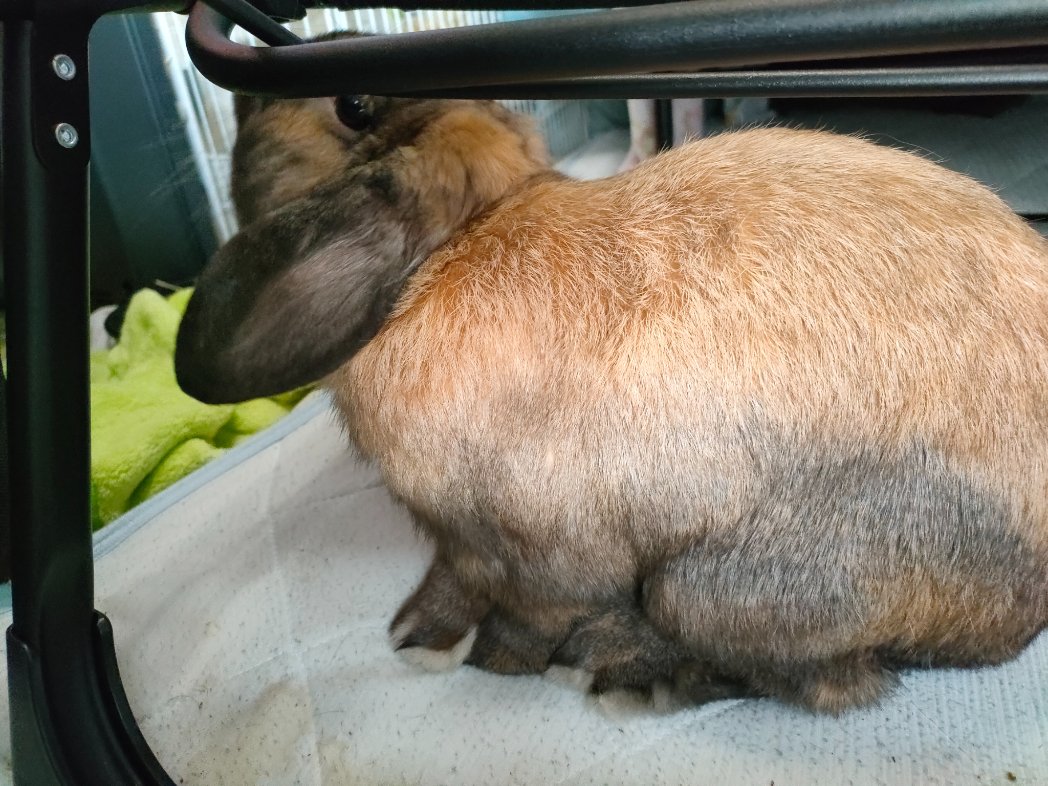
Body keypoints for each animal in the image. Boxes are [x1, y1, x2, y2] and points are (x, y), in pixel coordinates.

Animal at [175, 75, 1048, 714]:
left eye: (354, 104)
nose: (244, 95)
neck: (458, 244)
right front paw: (417, 631)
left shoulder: (530, 547)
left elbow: (522, 609)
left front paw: (462, 651)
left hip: (714, 587)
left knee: (817, 677)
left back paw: (616, 672)